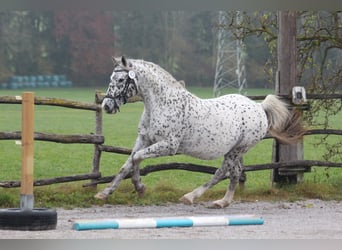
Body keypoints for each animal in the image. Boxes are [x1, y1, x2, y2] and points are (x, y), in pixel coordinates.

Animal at [94, 56, 308, 209]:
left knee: (223, 172)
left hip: (237, 149)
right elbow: (128, 163)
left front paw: (140, 187)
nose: (107, 106)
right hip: (234, 151)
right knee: (235, 172)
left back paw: (192, 197)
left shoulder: (168, 146)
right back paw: (223, 202)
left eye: (121, 79)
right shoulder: (144, 139)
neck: (162, 103)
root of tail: (259, 107)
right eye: (112, 78)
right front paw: (104, 193)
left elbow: (137, 158)